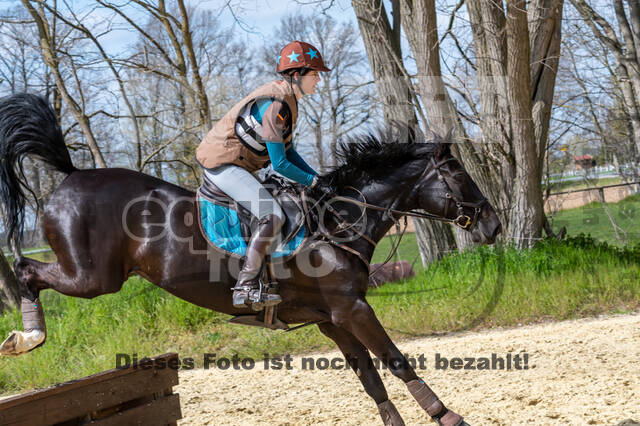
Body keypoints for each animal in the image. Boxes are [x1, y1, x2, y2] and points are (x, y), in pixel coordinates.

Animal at [0, 94, 500, 426]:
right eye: (459, 174)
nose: (493, 225)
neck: (336, 220)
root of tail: (70, 176)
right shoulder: (353, 309)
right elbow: (396, 362)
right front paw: (448, 416)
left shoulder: (332, 319)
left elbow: (371, 379)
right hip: (92, 277)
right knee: (26, 270)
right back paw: (28, 337)